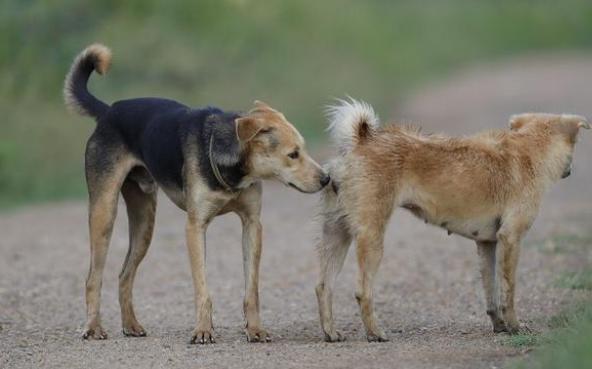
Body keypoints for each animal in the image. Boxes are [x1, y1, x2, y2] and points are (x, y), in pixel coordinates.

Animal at [64, 44, 330, 344]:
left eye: (303, 149)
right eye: (293, 154)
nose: (326, 179)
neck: (233, 170)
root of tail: (108, 111)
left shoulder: (252, 224)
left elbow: (251, 289)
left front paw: (255, 330)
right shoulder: (195, 227)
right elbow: (203, 289)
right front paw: (203, 330)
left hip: (144, 222)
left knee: (124, 275)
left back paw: (131, 325)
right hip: (104, 212)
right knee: (93, 278)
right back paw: (93, 328)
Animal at [314, 98, 588, 342]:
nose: (570, 170)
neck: (529, 147)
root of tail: (361, 139)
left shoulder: (487, 244)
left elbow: (491, 294)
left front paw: (499, 326)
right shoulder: (511, 238)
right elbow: (508, 293)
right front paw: (515, 327)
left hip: (336, 234)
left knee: (323, 286)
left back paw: (331, 333)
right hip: (371, 237)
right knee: (362, 291)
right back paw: (375, 333)